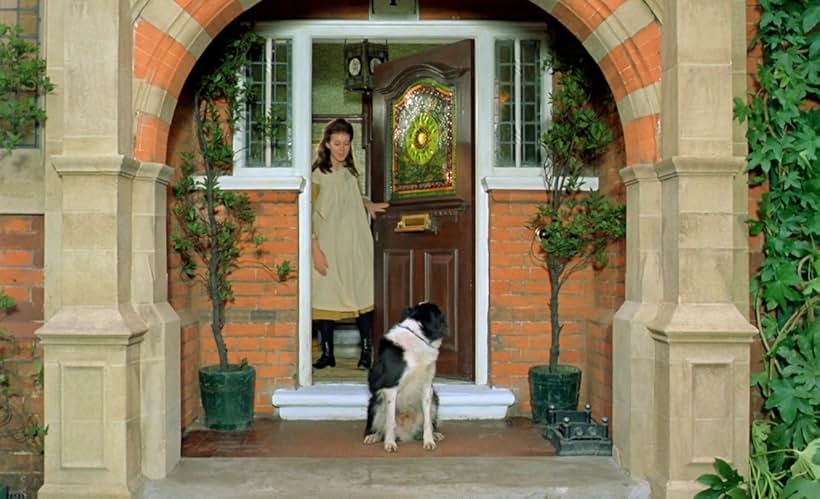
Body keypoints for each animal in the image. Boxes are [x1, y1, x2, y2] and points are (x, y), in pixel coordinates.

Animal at [362, 300, 446, 454]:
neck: (417, 338)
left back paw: (435, 434)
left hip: (435, 399)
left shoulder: (427, 388)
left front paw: (429, 441)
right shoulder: (390, 388)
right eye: (439, 313)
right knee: (380, 427)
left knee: (429, 422)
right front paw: (390, 444)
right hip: (376, 402)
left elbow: (427, 422)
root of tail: (406, 434)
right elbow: (390, 422)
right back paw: (373, 436)